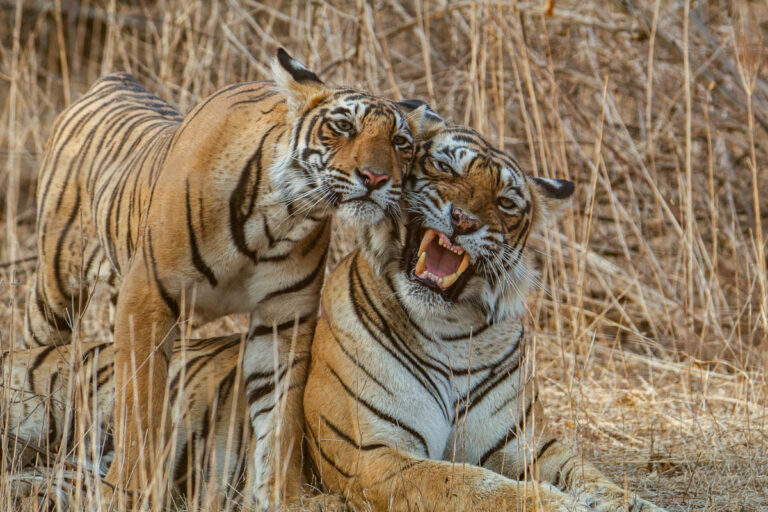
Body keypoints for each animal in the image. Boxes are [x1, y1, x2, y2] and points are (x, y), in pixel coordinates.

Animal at [23, 47, 423, 507]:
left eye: (400, 143)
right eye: (343, 126)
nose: (376, 178)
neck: (279, 217)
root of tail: (115, 78)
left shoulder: (282, 320)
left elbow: (281, 417)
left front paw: (282, 496)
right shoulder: (147, 296)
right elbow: (142, 401)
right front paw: (132, 490)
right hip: (56, 288)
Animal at [302, 105, 668, 511]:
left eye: (506, 202)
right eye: (444, 166)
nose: (464, 220)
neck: (446, 327)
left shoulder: (531, 447)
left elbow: (595, 479)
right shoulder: (370, 452)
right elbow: (469, 483)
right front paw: (557, 503)